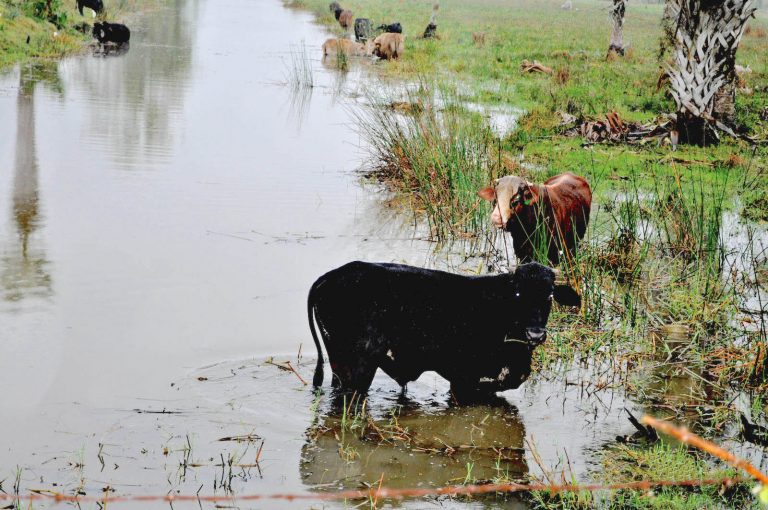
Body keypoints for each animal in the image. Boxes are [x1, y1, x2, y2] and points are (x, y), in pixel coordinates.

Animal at [308, 260, 580, 400]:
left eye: (550, 295)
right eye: (518, 293)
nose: (535, 334)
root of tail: (330, 275)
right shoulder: (464, 377)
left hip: (339, 360)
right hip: (360, 364)